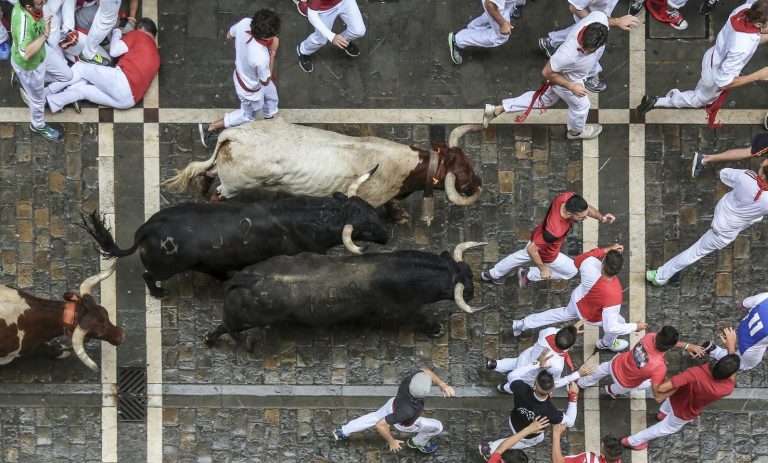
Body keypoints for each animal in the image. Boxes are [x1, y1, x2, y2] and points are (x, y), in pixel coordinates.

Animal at [84, 193, 390, 300]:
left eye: (371, 210)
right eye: (365, 226)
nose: (388, 233)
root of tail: (148, 228)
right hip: (164, 268)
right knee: (148, 276)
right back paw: (159, 293)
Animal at [164, 120, 486, 224]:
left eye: (469, 163)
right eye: (464, 172)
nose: (480, 183)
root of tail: (233, 135)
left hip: (222, 170)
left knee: (207, 174)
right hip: (233, 186)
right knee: (218, 194)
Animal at [207, 243, 486, 344]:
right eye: (465, 286)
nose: (473, 292)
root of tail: (247, 278)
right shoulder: (400, 312)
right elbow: (420, 319)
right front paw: (436, 329)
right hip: (244, 320)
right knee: (224, 326)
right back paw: (211, 339)